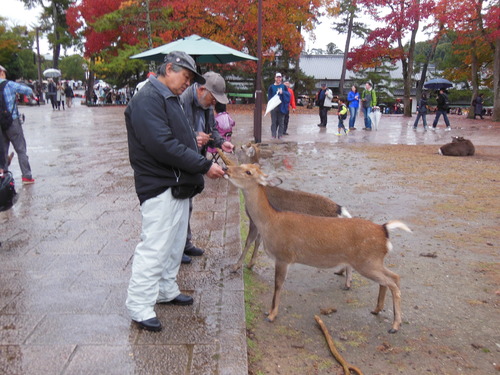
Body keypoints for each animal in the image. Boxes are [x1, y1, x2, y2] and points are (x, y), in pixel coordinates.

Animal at [225, 164, 412, 334]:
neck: (271, 222)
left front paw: (271, 315)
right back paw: (377, 310)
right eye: (243, 165)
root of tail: (384, 230)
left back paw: (395, 325)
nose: (226, 169)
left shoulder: (283, 256)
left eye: (248, 171)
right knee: (393, 277)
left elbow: (278, 284)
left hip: (367, 262)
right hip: (373, 261)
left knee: (392, 282)